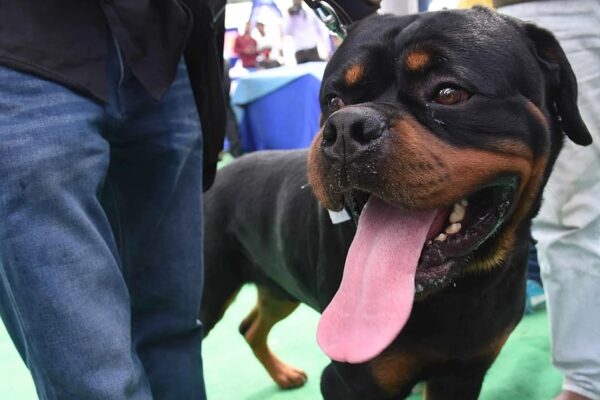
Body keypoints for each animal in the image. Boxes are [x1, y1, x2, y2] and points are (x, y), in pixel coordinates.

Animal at [202, 7, 591, 399]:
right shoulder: (351, 380)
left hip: (279, 284)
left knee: (251, 325)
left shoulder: (463, 374)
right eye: (334, 100)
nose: (345, 128)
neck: (459, 289)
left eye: (449, 92)